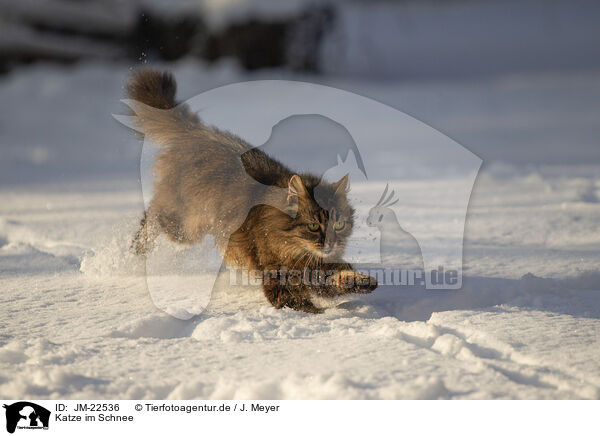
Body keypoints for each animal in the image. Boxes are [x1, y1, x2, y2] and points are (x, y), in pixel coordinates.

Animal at [126, 69, 378, 314]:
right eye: (314, 226)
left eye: (339, 224)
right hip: (184, 226)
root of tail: (197, 132)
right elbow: (298, 303)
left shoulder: (317, 268)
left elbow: (337, 275)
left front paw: (362, 281)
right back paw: (133, 255)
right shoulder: (278, 275)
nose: (332, 243)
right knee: (153, 216)